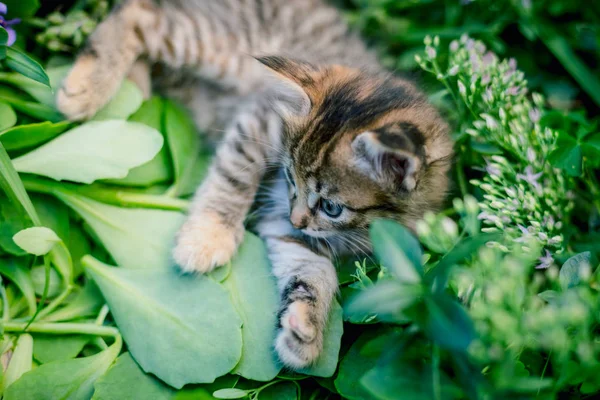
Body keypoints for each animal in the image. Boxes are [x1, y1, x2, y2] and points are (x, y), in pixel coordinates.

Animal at [57, 0, 454, 368]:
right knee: (142, 14)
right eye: (290, 176)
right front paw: (208, 237)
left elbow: (313, 268)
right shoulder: (260, 120)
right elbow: (235, 174)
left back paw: (135, 92)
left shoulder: (293, 231)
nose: (296, 217)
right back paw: (87, 90)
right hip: (220, 42)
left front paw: (305, 329)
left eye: (331, 207)